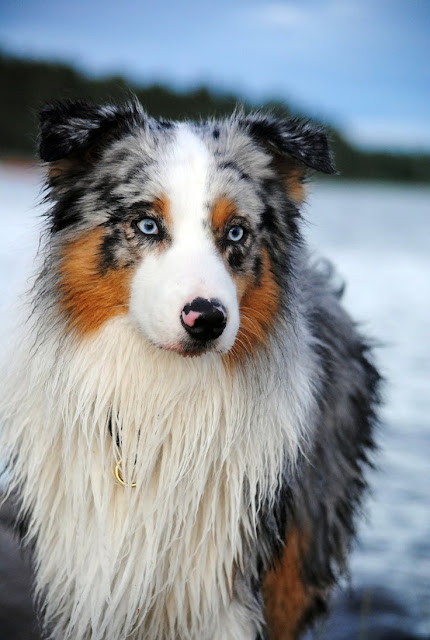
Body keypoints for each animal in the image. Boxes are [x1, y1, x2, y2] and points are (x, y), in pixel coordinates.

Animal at [1, 101, 380, 640]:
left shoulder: (222, 587)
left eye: (236, 232)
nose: (207, 319)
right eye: (147, 225)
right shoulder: (86, 574)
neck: (156, 403)